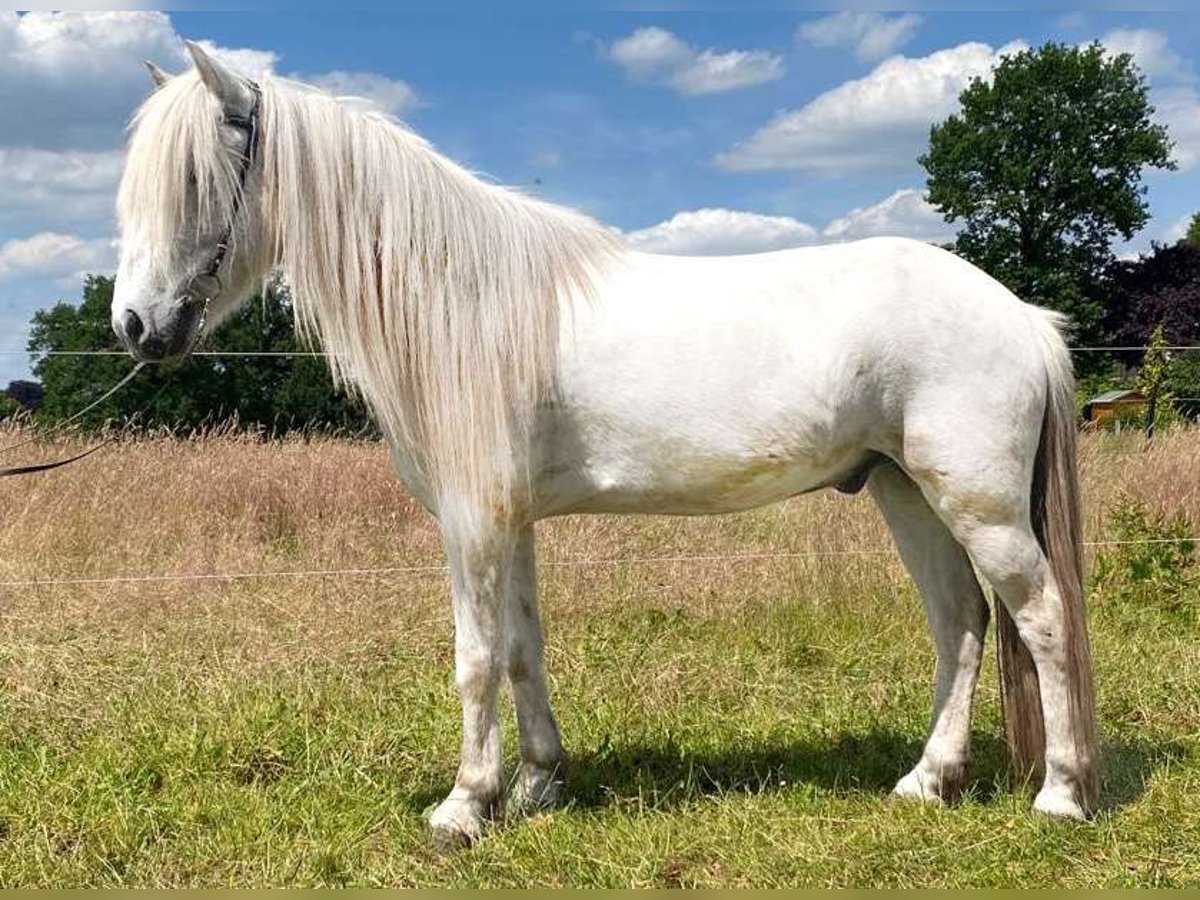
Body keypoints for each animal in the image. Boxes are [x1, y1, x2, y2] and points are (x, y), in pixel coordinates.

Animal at [117, 45, 1099, 849]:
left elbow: (475, 657)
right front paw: (538, 785)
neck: (462, 302)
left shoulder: (473, 520)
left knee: (1043, 616)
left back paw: (1060, 795)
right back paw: (926, 782)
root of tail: (1021, 315)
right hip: (904, 489)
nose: (134, 327)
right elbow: (522, 647)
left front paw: (463, 807)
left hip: (977, 500)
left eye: (197, 182)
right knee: (960, 620)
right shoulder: (508, 520)